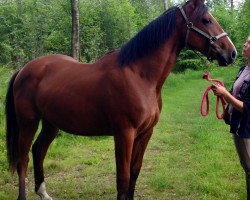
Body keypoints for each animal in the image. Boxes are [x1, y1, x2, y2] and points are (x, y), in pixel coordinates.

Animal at [5, 0, 236, 200]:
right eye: (206, 20)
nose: (231, 53)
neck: (139, 75)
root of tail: (24, 69)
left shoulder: (145, 133)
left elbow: (135, 172)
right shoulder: (124, 133)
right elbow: (123, 178)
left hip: (51, 123)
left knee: (38, 150)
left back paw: (43, 193)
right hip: (28, 122)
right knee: (23, 159)